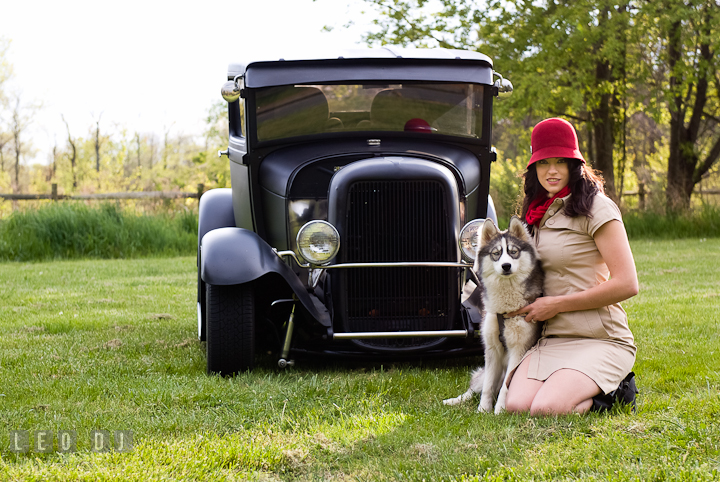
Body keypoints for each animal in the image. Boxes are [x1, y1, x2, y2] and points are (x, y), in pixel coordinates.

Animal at [442, 217, 544, 412]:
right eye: (496, 253)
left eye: (513, 252)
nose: (506, 266)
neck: (505, 309)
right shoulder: (492, 349)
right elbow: (488, 386)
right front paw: (483, 410)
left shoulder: (519, 349)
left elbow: (506, 386)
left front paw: (499, 411)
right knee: (476, 385)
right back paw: (454, 401)